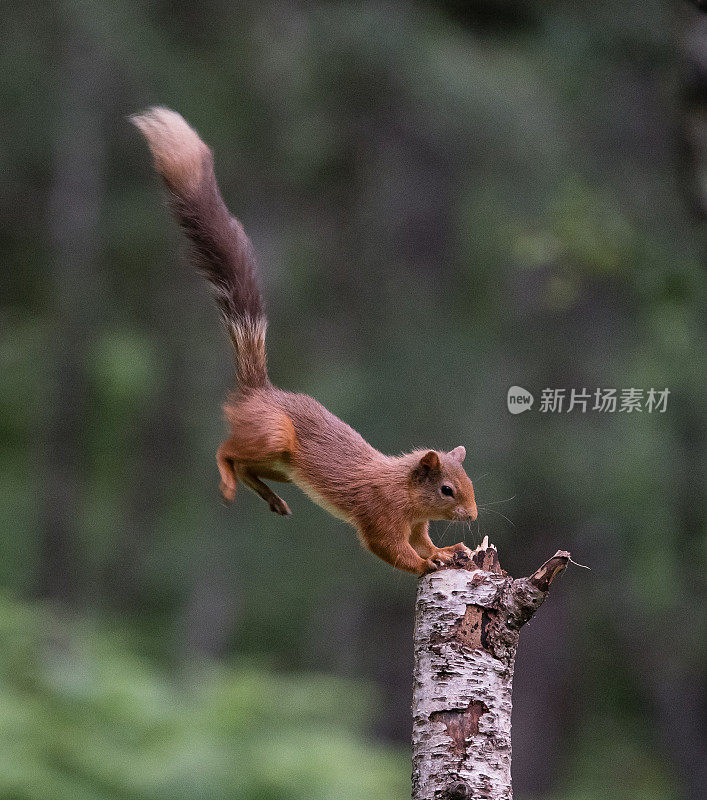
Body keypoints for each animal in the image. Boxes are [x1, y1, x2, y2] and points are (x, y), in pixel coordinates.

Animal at [131, 109, 478, 580]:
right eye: (446, 489)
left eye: (468, 484)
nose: (474, 515)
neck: (402, 489)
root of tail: (258, 392)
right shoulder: (380, 514)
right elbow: (391, 550)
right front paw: (429, 563)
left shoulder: (416, 523)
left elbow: (422, 541)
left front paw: (447, 549)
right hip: (272, 436)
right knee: (227, 452)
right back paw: (228, 482)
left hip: (281, 466)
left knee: (247, 466)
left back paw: (272, 498)